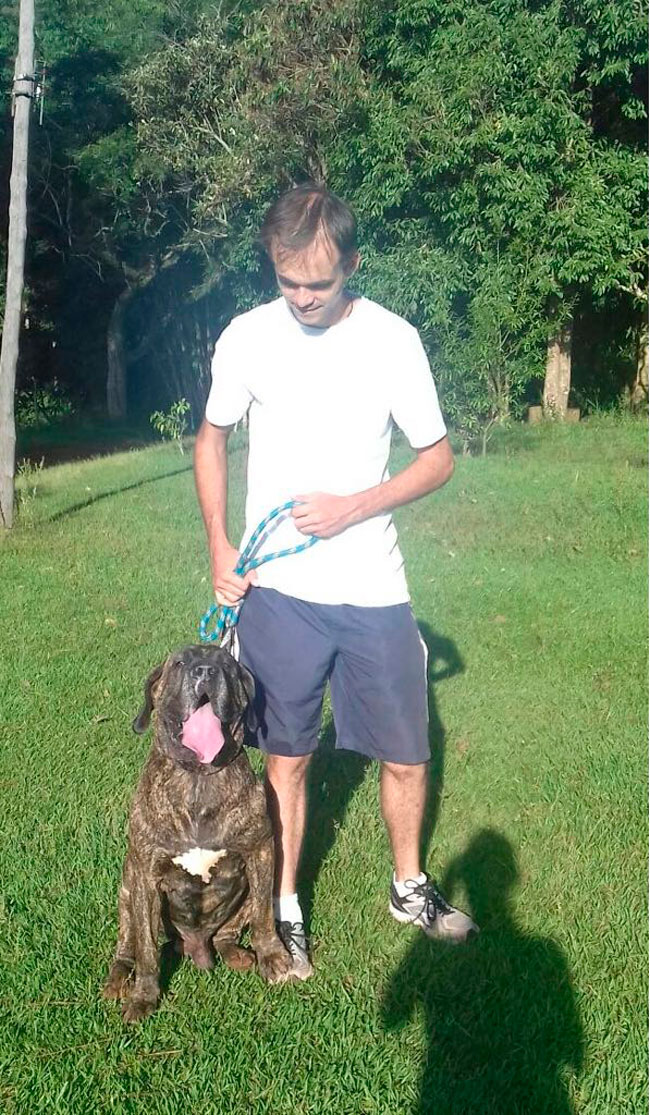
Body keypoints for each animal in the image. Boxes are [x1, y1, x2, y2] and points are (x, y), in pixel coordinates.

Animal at [103, 644, 291, 1022]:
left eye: (228, 666)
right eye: (179, 663)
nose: (205, 671)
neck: (198, 778)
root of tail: (194, 945)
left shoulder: (261, 851)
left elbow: (265, 914)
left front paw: (273, 956)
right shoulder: (145, 875)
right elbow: (147, 949)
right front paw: (144, 996)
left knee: (229, 933)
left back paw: (237, 954)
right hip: (127, 889)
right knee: (128, 941)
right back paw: (119, 977)